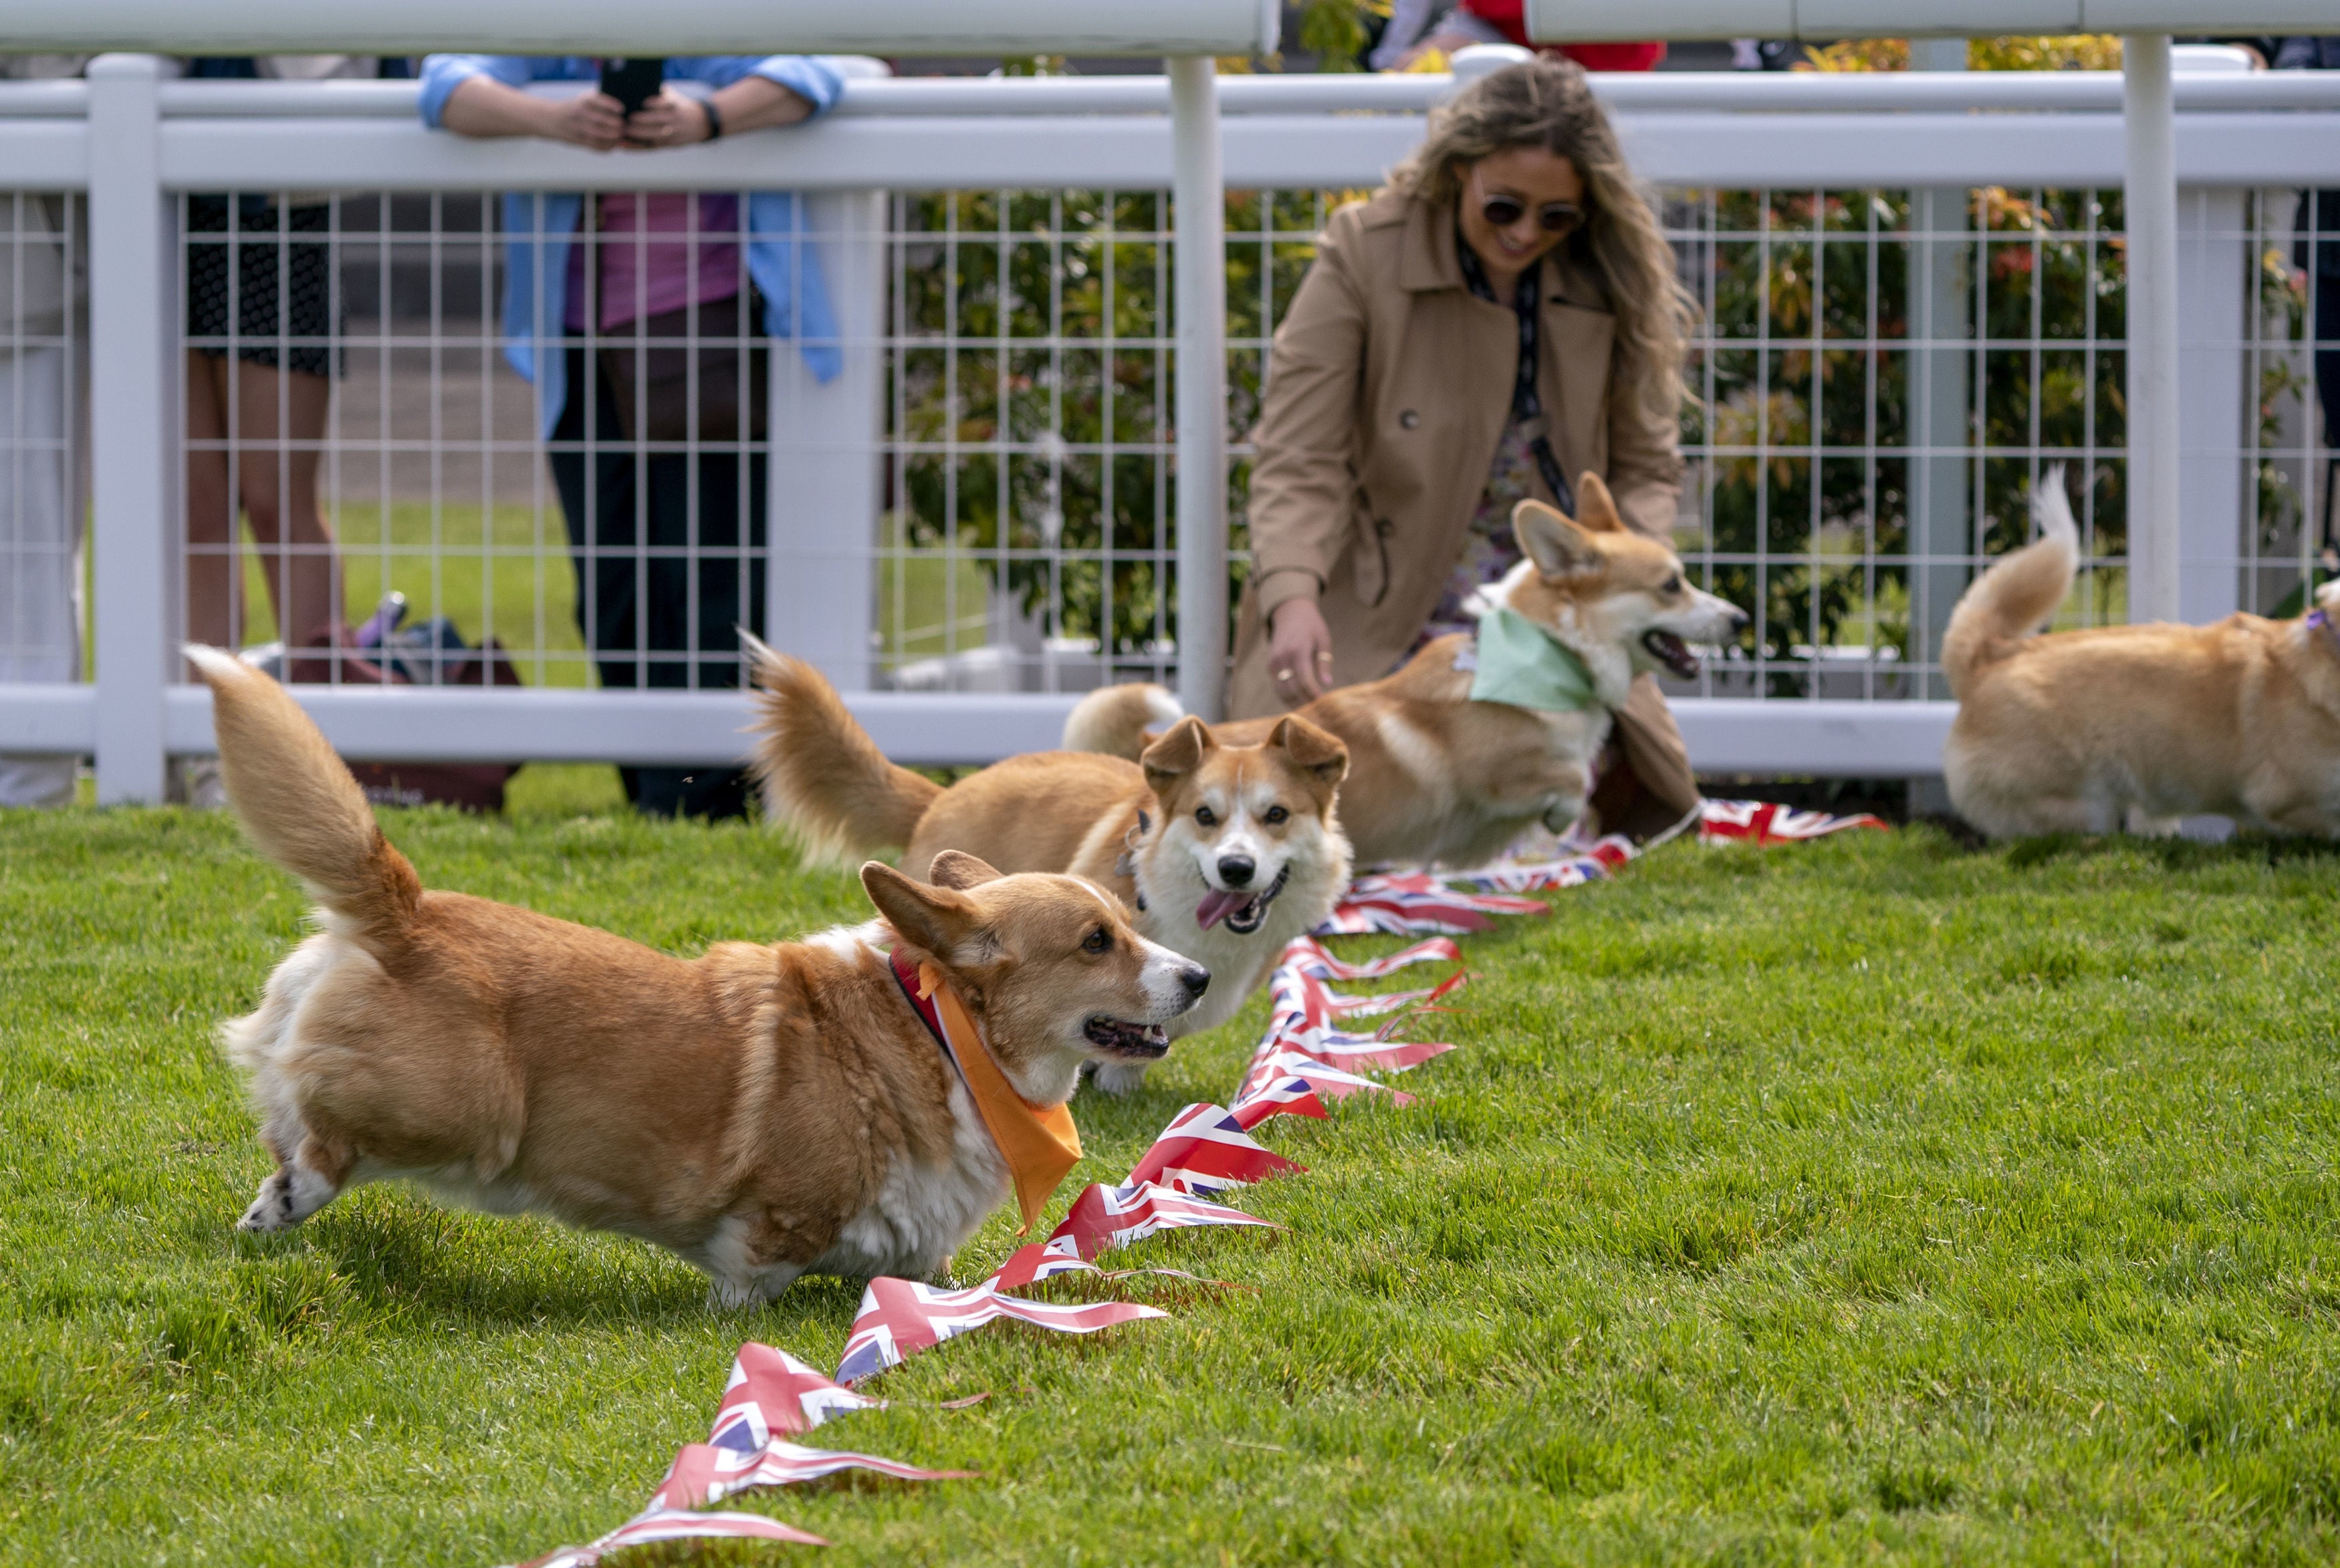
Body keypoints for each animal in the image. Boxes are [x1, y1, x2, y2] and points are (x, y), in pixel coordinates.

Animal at [185, 646, 1207, 1310]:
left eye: (1127, 919)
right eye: (1095, 942)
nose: (1198, 977)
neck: (941, 1033)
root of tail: (403, 903)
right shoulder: (769, 1230)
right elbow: (753, 1278)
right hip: (466, 1111)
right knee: (320, 1134)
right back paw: (284, 1200)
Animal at [1062, 479, 1741, 870]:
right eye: (1672, 585)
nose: (1740, 619)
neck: (1546, 652)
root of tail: (1148, 747)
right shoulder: (1496, 774)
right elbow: (1570, 779)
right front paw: (1557, 820)